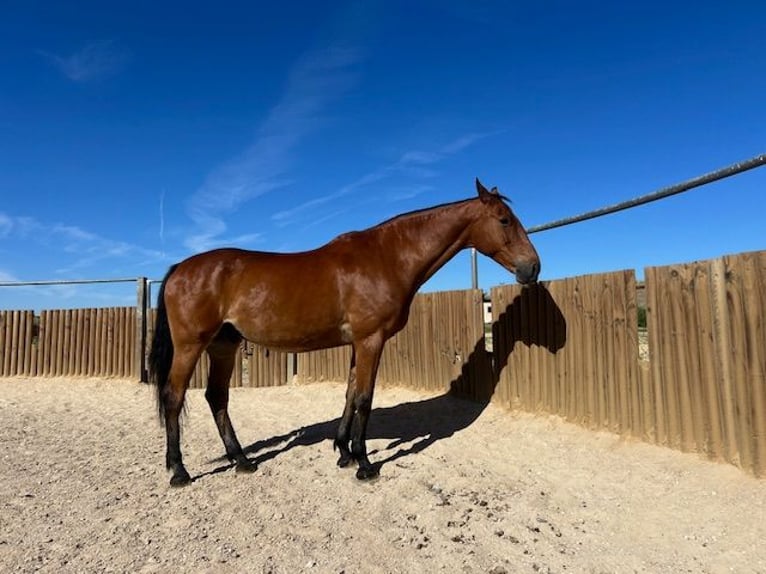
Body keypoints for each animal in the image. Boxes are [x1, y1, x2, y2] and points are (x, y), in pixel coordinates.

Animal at [148, 178, 540, 486]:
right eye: (504, 220)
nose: (532, 268)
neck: (385, 257)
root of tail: (181, 267)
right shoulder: (371, 340)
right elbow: (365, 398)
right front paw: (364, 464)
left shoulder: (358, 344)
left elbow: (351, 393)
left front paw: (343, 453)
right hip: (190, 346)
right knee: (173, 397)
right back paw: (179, 471)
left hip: (223, 346)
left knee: (216, 397)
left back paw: (242, 461)